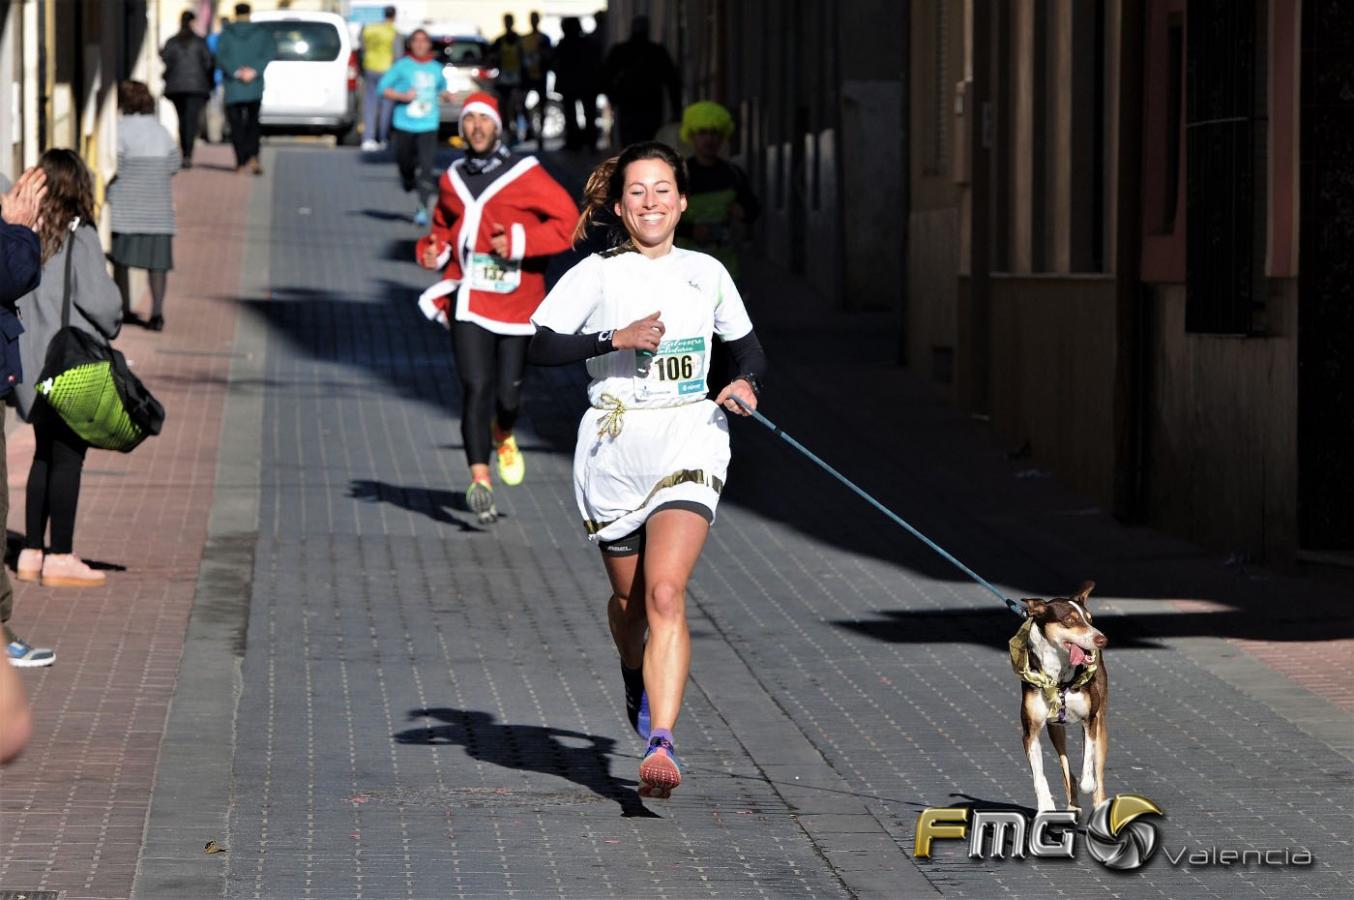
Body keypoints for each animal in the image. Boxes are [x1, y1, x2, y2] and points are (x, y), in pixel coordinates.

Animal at [1018, 579, 1110, 812]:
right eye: (1069, 620)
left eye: (1090, 619)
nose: (1102, 639)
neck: (1058, 679)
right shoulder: (1030, 732)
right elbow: (1039, 776)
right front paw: (1045, 805)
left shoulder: (1090, 720)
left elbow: (1088, 766)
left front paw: (1088, 783)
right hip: (1055, 730)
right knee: (1066, 767)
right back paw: (1073, 806)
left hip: (1101, 725)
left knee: (1098, 774)